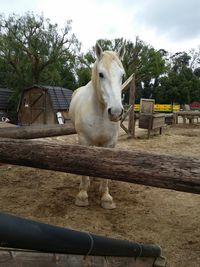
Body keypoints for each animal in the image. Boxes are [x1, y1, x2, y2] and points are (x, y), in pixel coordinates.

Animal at [69, 43, 124, 209]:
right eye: (101, 74)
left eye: (122, 75)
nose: (116, 112)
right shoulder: (84, 141)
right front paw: (82, 195)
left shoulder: (110, 143)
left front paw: (106, 197)